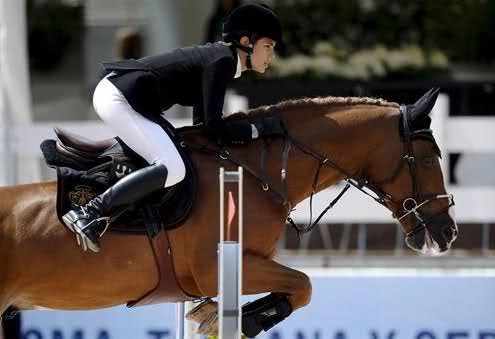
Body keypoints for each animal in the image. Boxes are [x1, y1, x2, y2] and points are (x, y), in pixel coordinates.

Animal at [0, 87, 460, 338]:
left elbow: (300, 287)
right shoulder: (216, 266)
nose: (448, 232)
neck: (257, 171)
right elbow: (305, 284)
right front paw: (237, 322)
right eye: (430, 158)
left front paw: (220, 317)